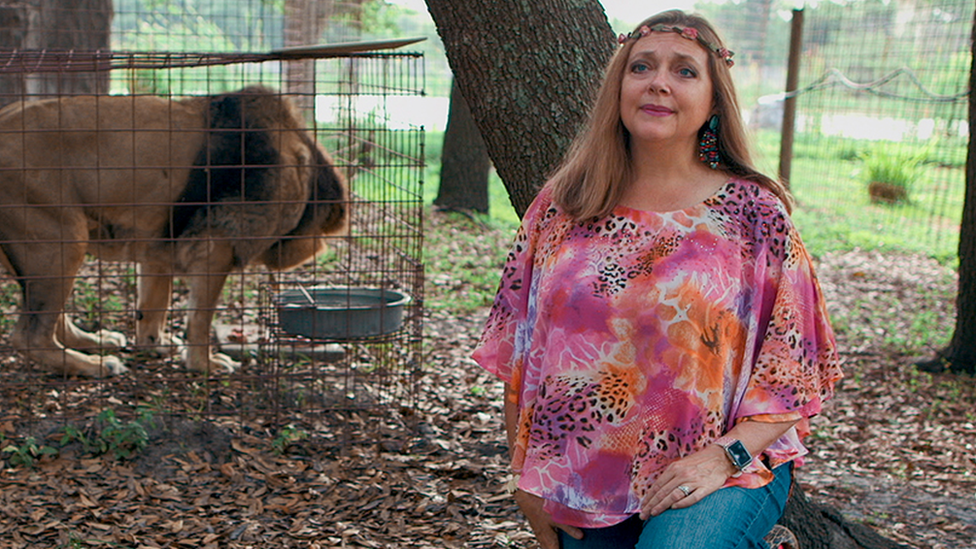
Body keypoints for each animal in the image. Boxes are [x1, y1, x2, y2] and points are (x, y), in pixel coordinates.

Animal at [0, 85, 348, 376]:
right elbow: (200, 318)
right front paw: (204, 364)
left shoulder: (157, 245)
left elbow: (154, 304)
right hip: (63, 240)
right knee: (30, 336)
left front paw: (155, 343)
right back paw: (96, 366)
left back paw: (96, 342)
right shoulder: (216, 247)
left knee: (54, 321)